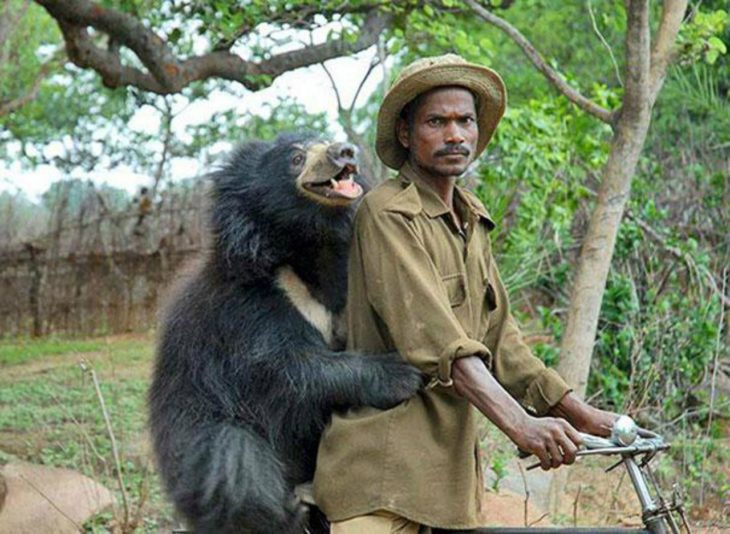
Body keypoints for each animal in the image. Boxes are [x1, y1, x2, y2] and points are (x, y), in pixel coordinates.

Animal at [149, 135, 420, 534]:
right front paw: (400, 375)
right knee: (234, 465)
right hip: (197, 441)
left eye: (327, 139)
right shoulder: (247, 304)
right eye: (296, 158)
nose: (345, 151)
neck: (312, 248)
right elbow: (287, 367)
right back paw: (285, 514)